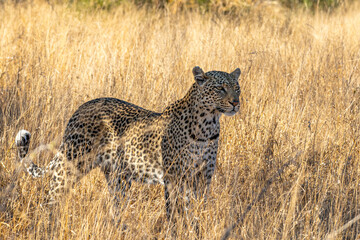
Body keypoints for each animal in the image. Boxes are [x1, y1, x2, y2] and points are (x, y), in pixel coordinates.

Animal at [15, 65, 240, 231]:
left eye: (237, 88)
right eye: (220, 88)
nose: (236, 102)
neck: (208, 126)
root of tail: (80, 109)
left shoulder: (203, 177)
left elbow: (197, 208)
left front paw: (197, 227)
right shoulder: (174, 176)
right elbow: (174, 210)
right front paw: (176, 230)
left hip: (118, 178)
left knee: (116, 207)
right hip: (71, 164)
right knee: (50, 198)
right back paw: (44, 226)